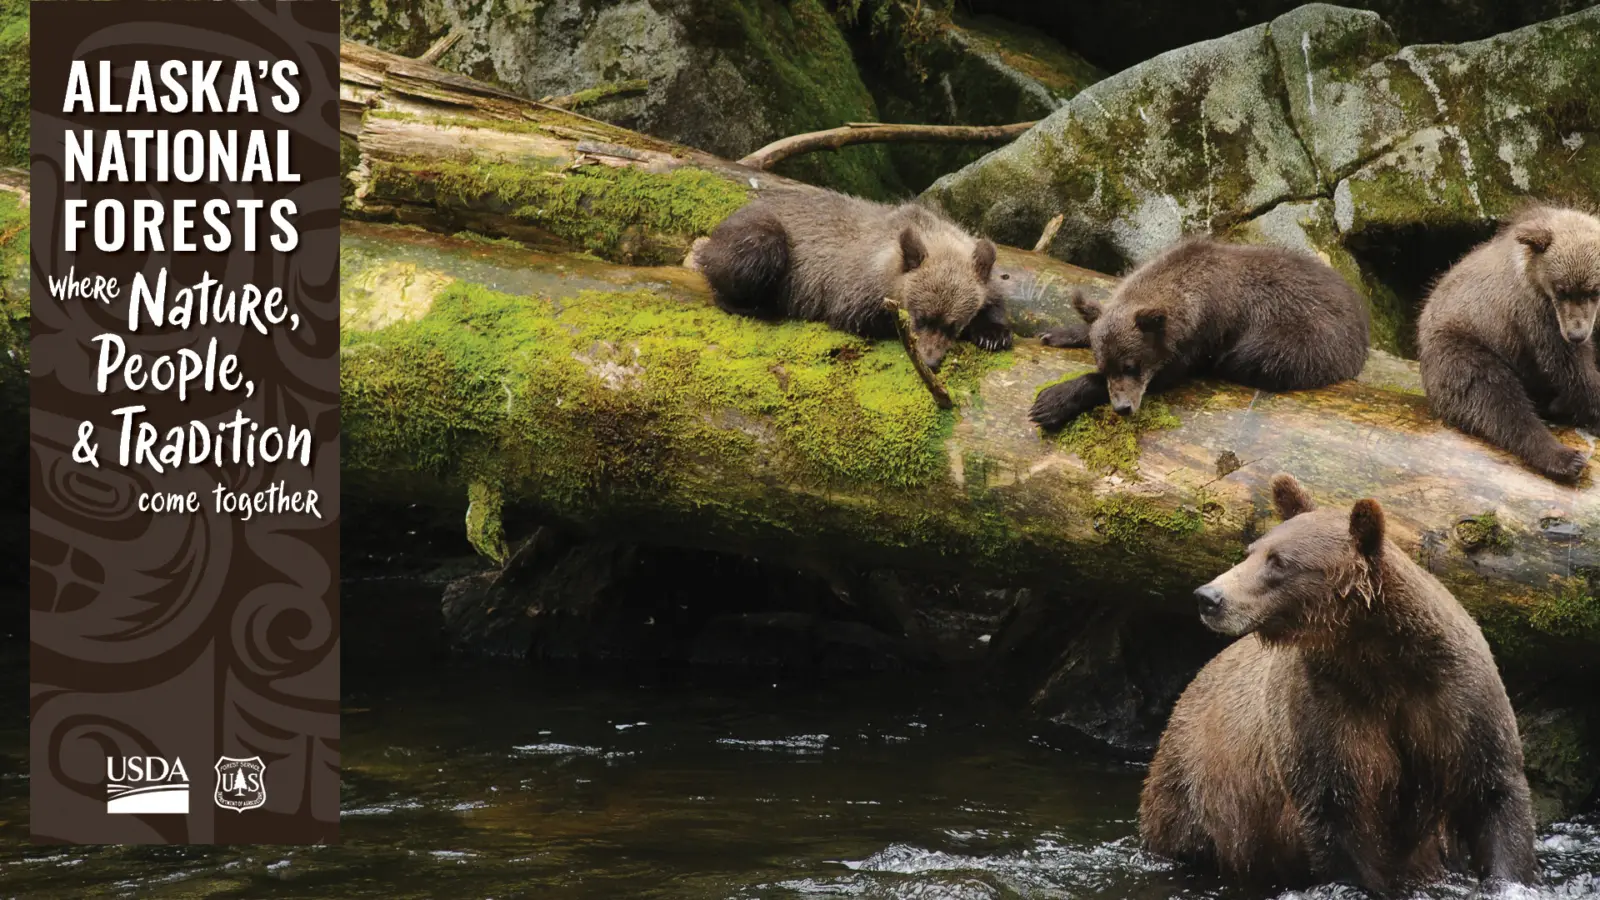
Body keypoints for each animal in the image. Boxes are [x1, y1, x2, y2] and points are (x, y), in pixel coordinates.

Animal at [691, 191, 1011, 372]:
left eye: (953, 324)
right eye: (920, 317)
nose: (930, 361)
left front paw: (993, 333)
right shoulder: (852, 289)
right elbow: (860, 317)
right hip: (761, 237)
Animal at [1028, 238, 1369, 430]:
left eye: (1131, 365)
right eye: (1105, 364)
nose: (1123, 407)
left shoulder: (1204, 336)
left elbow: (1171, 373)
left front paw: (1051, 402)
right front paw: (1059, 333)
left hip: (1307, 340)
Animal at [1140, 474, 1539, 893]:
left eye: (1278, 561)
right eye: (1251, 551)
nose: (1209, 597)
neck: (1376, 655)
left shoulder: (1455, 700)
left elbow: (1494, 794)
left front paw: (1506, 877)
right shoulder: (1326, 709)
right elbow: (1337, 812)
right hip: (1195, 790)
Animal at [1417, 204, 1600, 482]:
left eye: (1594, 290)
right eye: (1561, 290)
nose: (1576, 334)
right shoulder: (1535, 313)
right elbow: (1569, 366)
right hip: (1462, 346)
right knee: (1497, 400)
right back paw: (1565, 458)